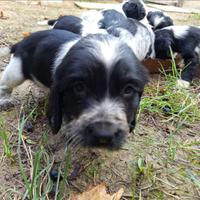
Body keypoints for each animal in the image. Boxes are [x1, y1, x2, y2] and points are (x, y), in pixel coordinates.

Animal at [0, 28, 149, 149]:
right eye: (80, 87)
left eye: (128, 90)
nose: (103, 135)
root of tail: (21, 43)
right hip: (16, 73)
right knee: (5, 83)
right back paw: (5, 100)